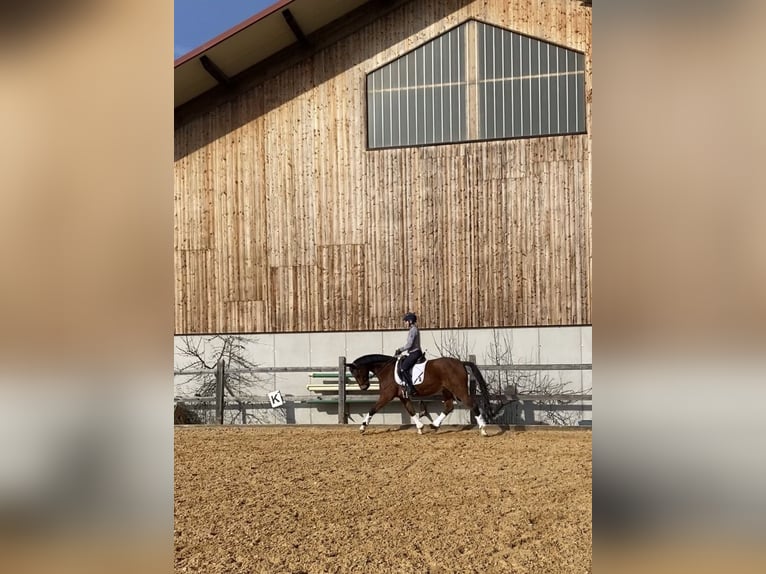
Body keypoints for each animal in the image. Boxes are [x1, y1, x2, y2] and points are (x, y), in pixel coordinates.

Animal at [345, 354, 494, 436]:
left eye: (356, 373)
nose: (364, 387)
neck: (386, 369)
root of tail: (460, 363)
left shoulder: (386, 395)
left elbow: (373, 409)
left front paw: (362, 427)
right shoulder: (403, 396)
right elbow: (411, 411)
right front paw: (420, 428)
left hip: (459, 390)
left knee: (472, 405)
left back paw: (483, 430)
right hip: (446, 390)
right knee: (448, 407)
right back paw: (434, 425)